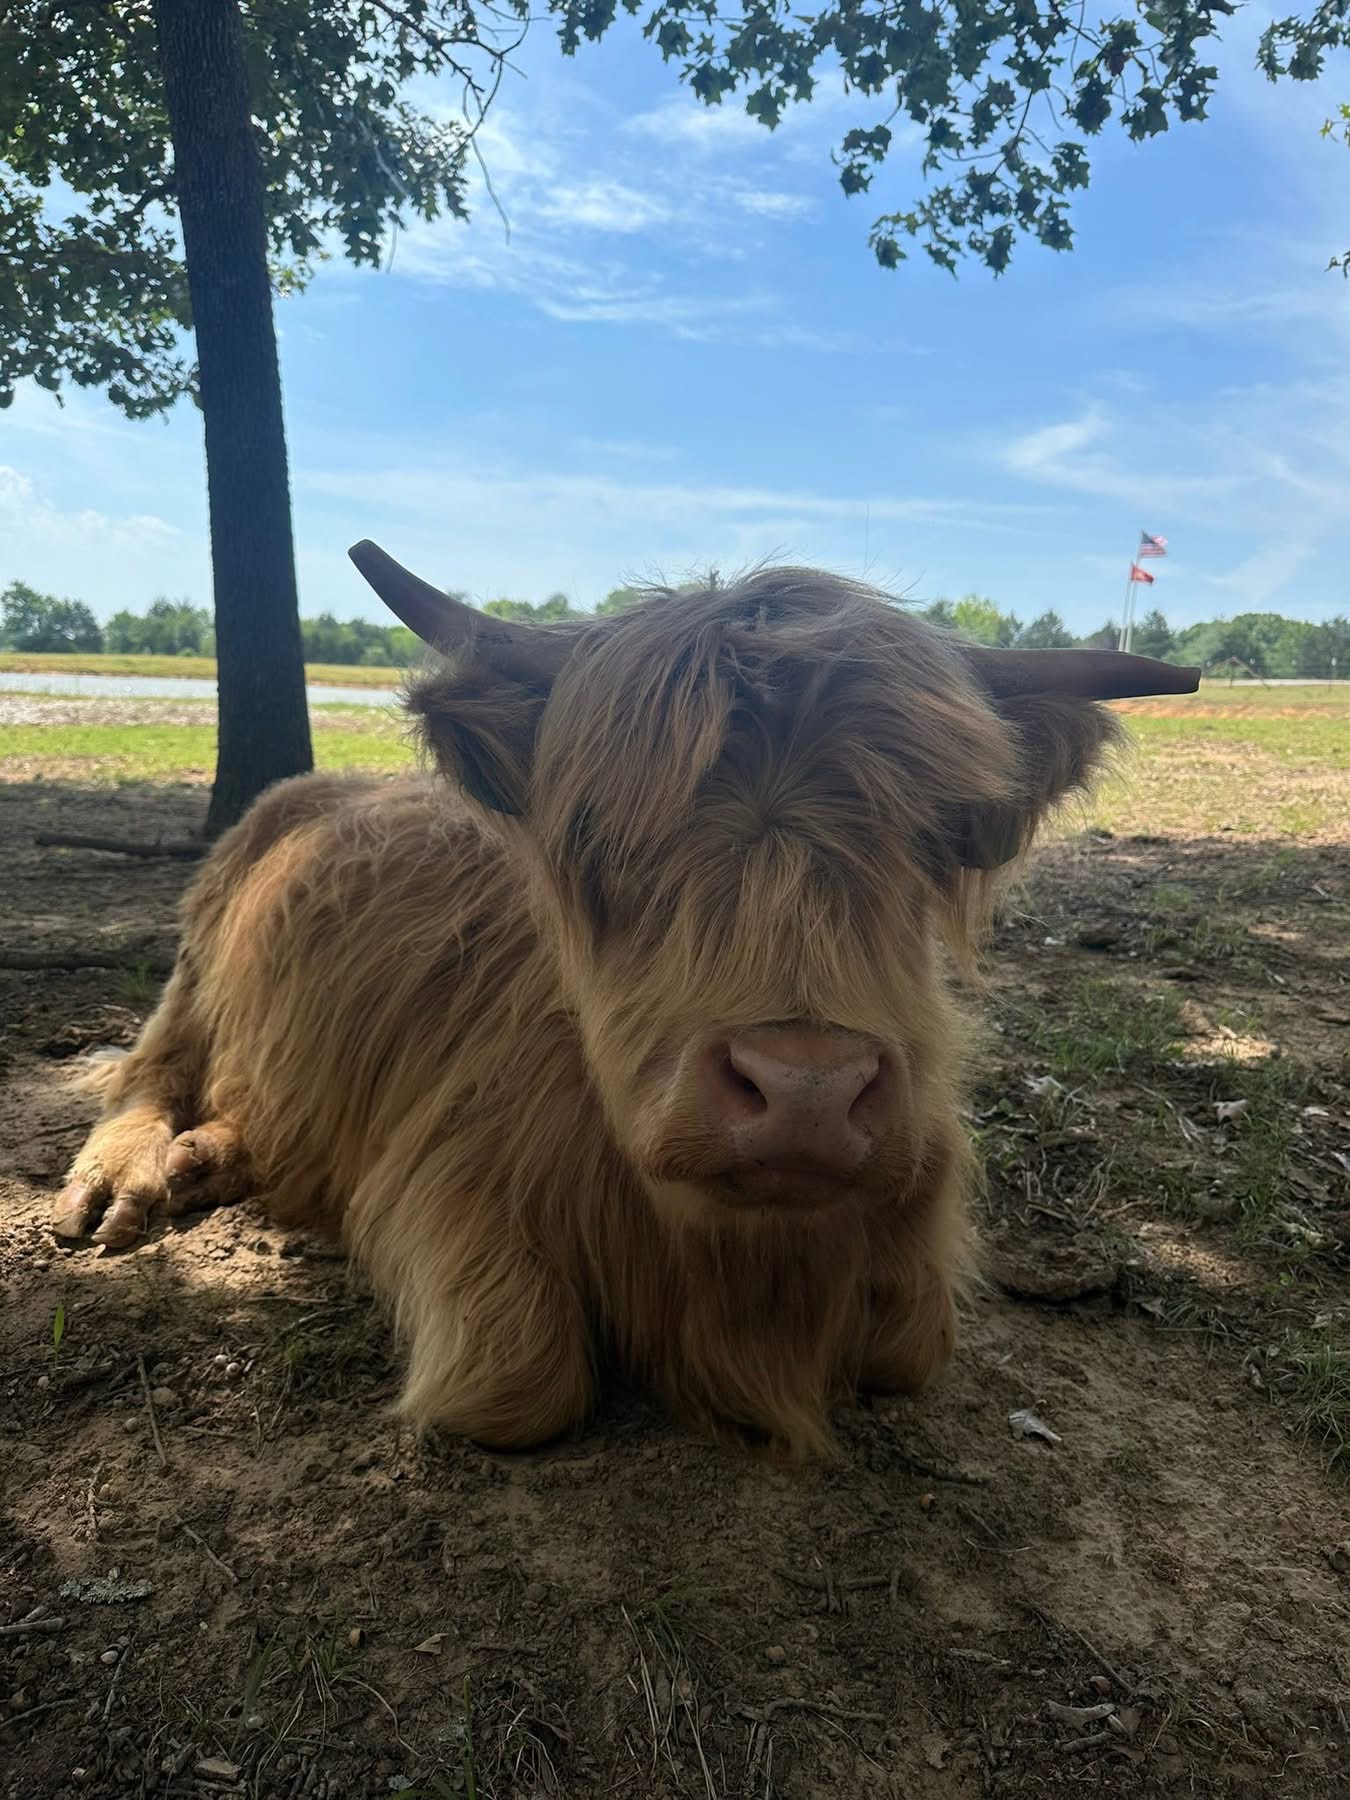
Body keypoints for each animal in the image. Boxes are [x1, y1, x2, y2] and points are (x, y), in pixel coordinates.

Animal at [52, 547, 1198, 1457]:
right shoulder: (440, 1173)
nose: (805, 1091)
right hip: (195, 961)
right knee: (149, 1068)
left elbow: (912, 1347)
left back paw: (207, 1160)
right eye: (600, 838)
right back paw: (122, 1181)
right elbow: (518, 1382)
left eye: (926, 842)